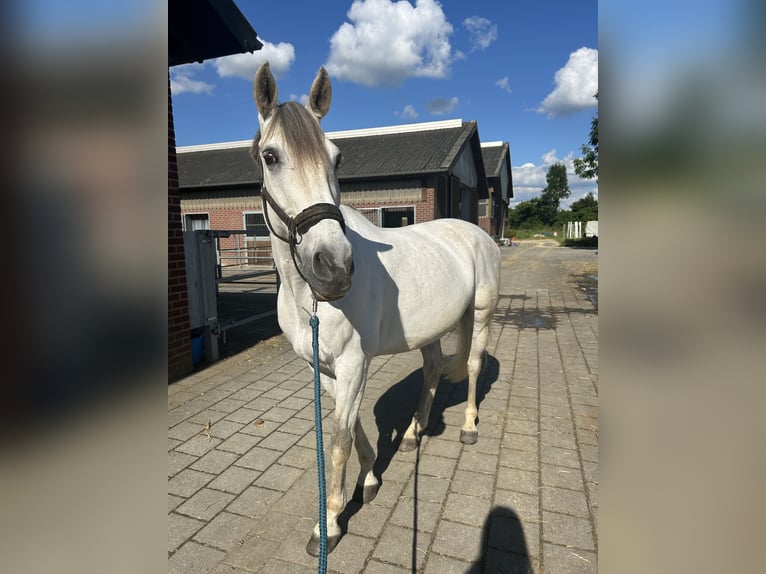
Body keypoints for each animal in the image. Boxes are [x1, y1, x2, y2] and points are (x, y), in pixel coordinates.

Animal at [252, 60, 504, 556]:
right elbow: (350, 427)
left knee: (471, 364)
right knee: (431, 371)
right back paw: (411, 435)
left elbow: (338, 438)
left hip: (481, 315)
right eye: (270, 156)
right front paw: (369, 479)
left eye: (337, 158)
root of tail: (475, 232)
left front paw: (328, 525)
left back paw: (468, 427)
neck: (309, 297)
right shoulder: (321, 366)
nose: (333, 267)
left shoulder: (353, 363)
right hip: (429, 332)